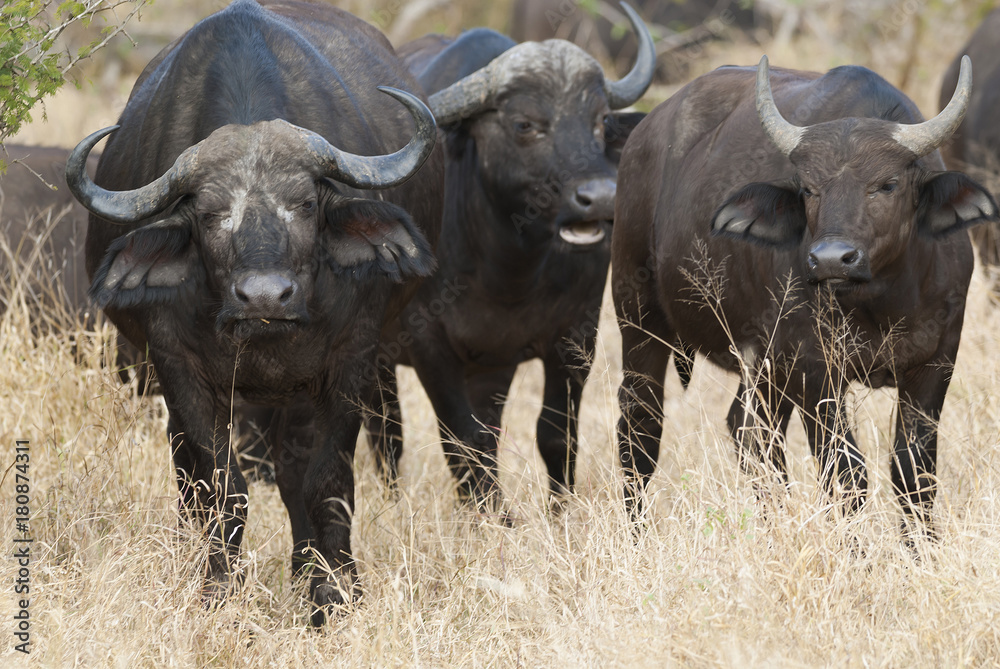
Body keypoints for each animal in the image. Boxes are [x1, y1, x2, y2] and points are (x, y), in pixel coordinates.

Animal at [66, 0, 443, 624]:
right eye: (208, 213)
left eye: (306, 204)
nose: (266, 297)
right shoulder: (178, 366)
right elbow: (223, 490)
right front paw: (217, 592)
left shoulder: (351, 358)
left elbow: (325, 482)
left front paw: (333, 596)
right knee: (187, 476)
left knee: (292, 474)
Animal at [362, 5, 653, 513]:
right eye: (524, 124)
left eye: (599, 120)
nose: (599, 198)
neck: (507, 269)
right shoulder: (429, 345)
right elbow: (461, 440)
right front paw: (495, 518)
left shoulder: (576, 335)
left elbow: (555, 435)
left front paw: (559, 513)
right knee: (386, 433)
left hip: (490, 369)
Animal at [613, 55, 998, 534]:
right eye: (809, 189)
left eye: (887, 184)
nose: (832, 259)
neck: (881, 303)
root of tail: (640, 138)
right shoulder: (815, 374)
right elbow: (847, 475)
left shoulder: (935, 365)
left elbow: (914, 474)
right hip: (638, 320)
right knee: (640, 429)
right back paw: (636, 533)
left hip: (761, 363)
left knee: (750, 431)